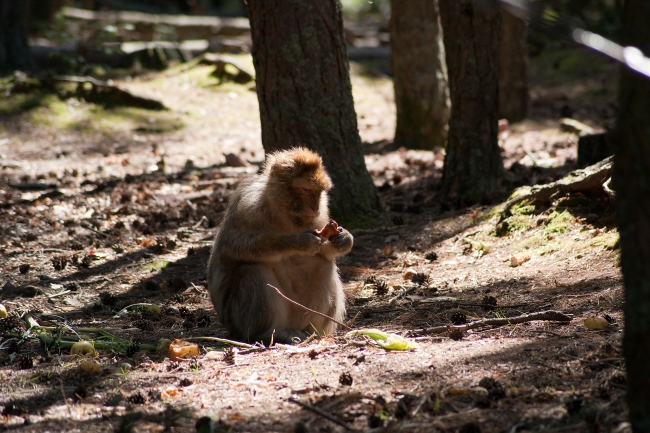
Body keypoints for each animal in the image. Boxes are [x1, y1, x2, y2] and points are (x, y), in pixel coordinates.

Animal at [206, 147, 350, 342]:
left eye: (319, 192)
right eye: (306, 189)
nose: (315, 207)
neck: (281, 213)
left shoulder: (321, 214)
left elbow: (323, 252)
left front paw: (344, 239)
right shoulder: (248, 206)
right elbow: (234, 246)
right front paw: (300, 242)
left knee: (324, 265)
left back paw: (311, 332)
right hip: (237, 320)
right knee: (253, 269)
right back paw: (271, 333)